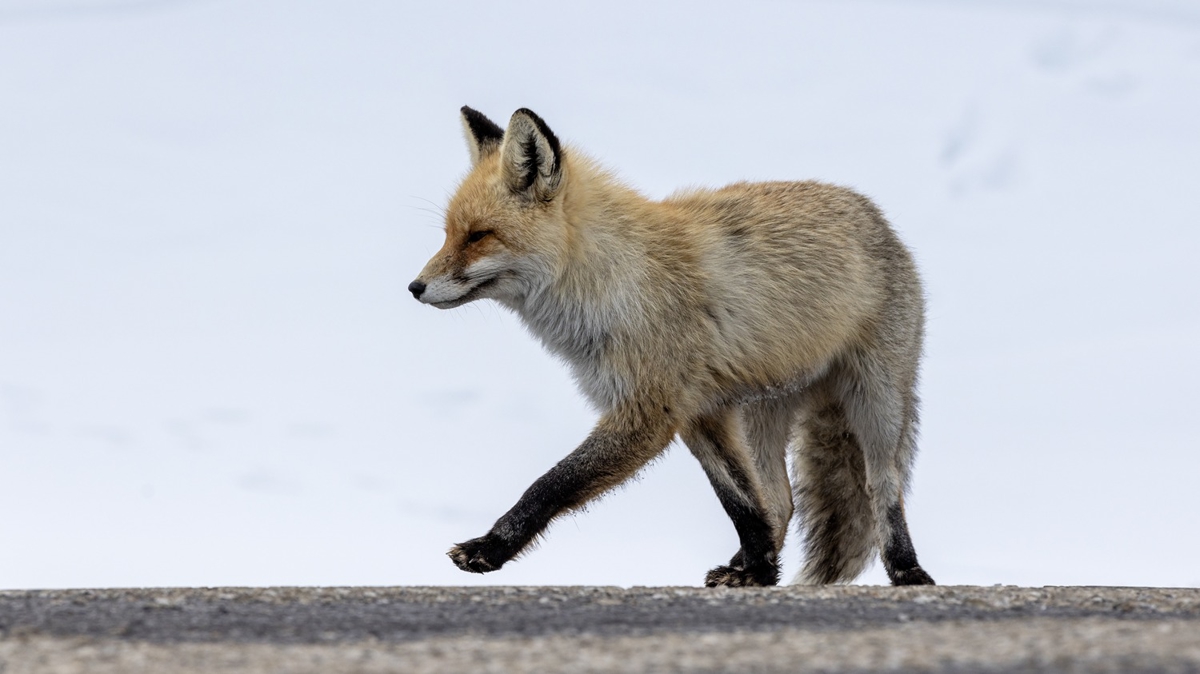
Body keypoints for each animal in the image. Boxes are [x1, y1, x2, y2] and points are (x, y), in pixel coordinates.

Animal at [412, 107, 936, 585]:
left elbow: (551, 483)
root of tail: (871, 211)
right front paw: (759, 567)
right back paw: (746, 566)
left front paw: (490, 547)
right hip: (760, 414)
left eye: (479, 236)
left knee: (882, 486)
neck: (612, 282)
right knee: (779, 500)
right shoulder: (699, 410)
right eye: (448, 235)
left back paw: (908, 570)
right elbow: (740, 501)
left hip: (877, 401)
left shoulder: (649, 411)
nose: (415, 288)